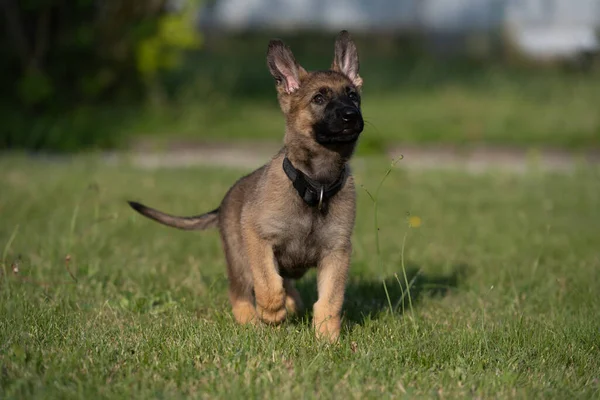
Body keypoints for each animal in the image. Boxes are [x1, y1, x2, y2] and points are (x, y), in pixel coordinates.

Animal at [129, 30, 364, 344]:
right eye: (318, 98)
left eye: (353, 95)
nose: (351, 115)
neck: (315, 185)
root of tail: (222, 203)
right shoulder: (258, 237)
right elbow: (267, 281)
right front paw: (271, 311)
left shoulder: (337, 252)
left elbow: (330, 299)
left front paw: (326, 337)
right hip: (239, 260)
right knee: (240, 293)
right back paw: (252, 322)